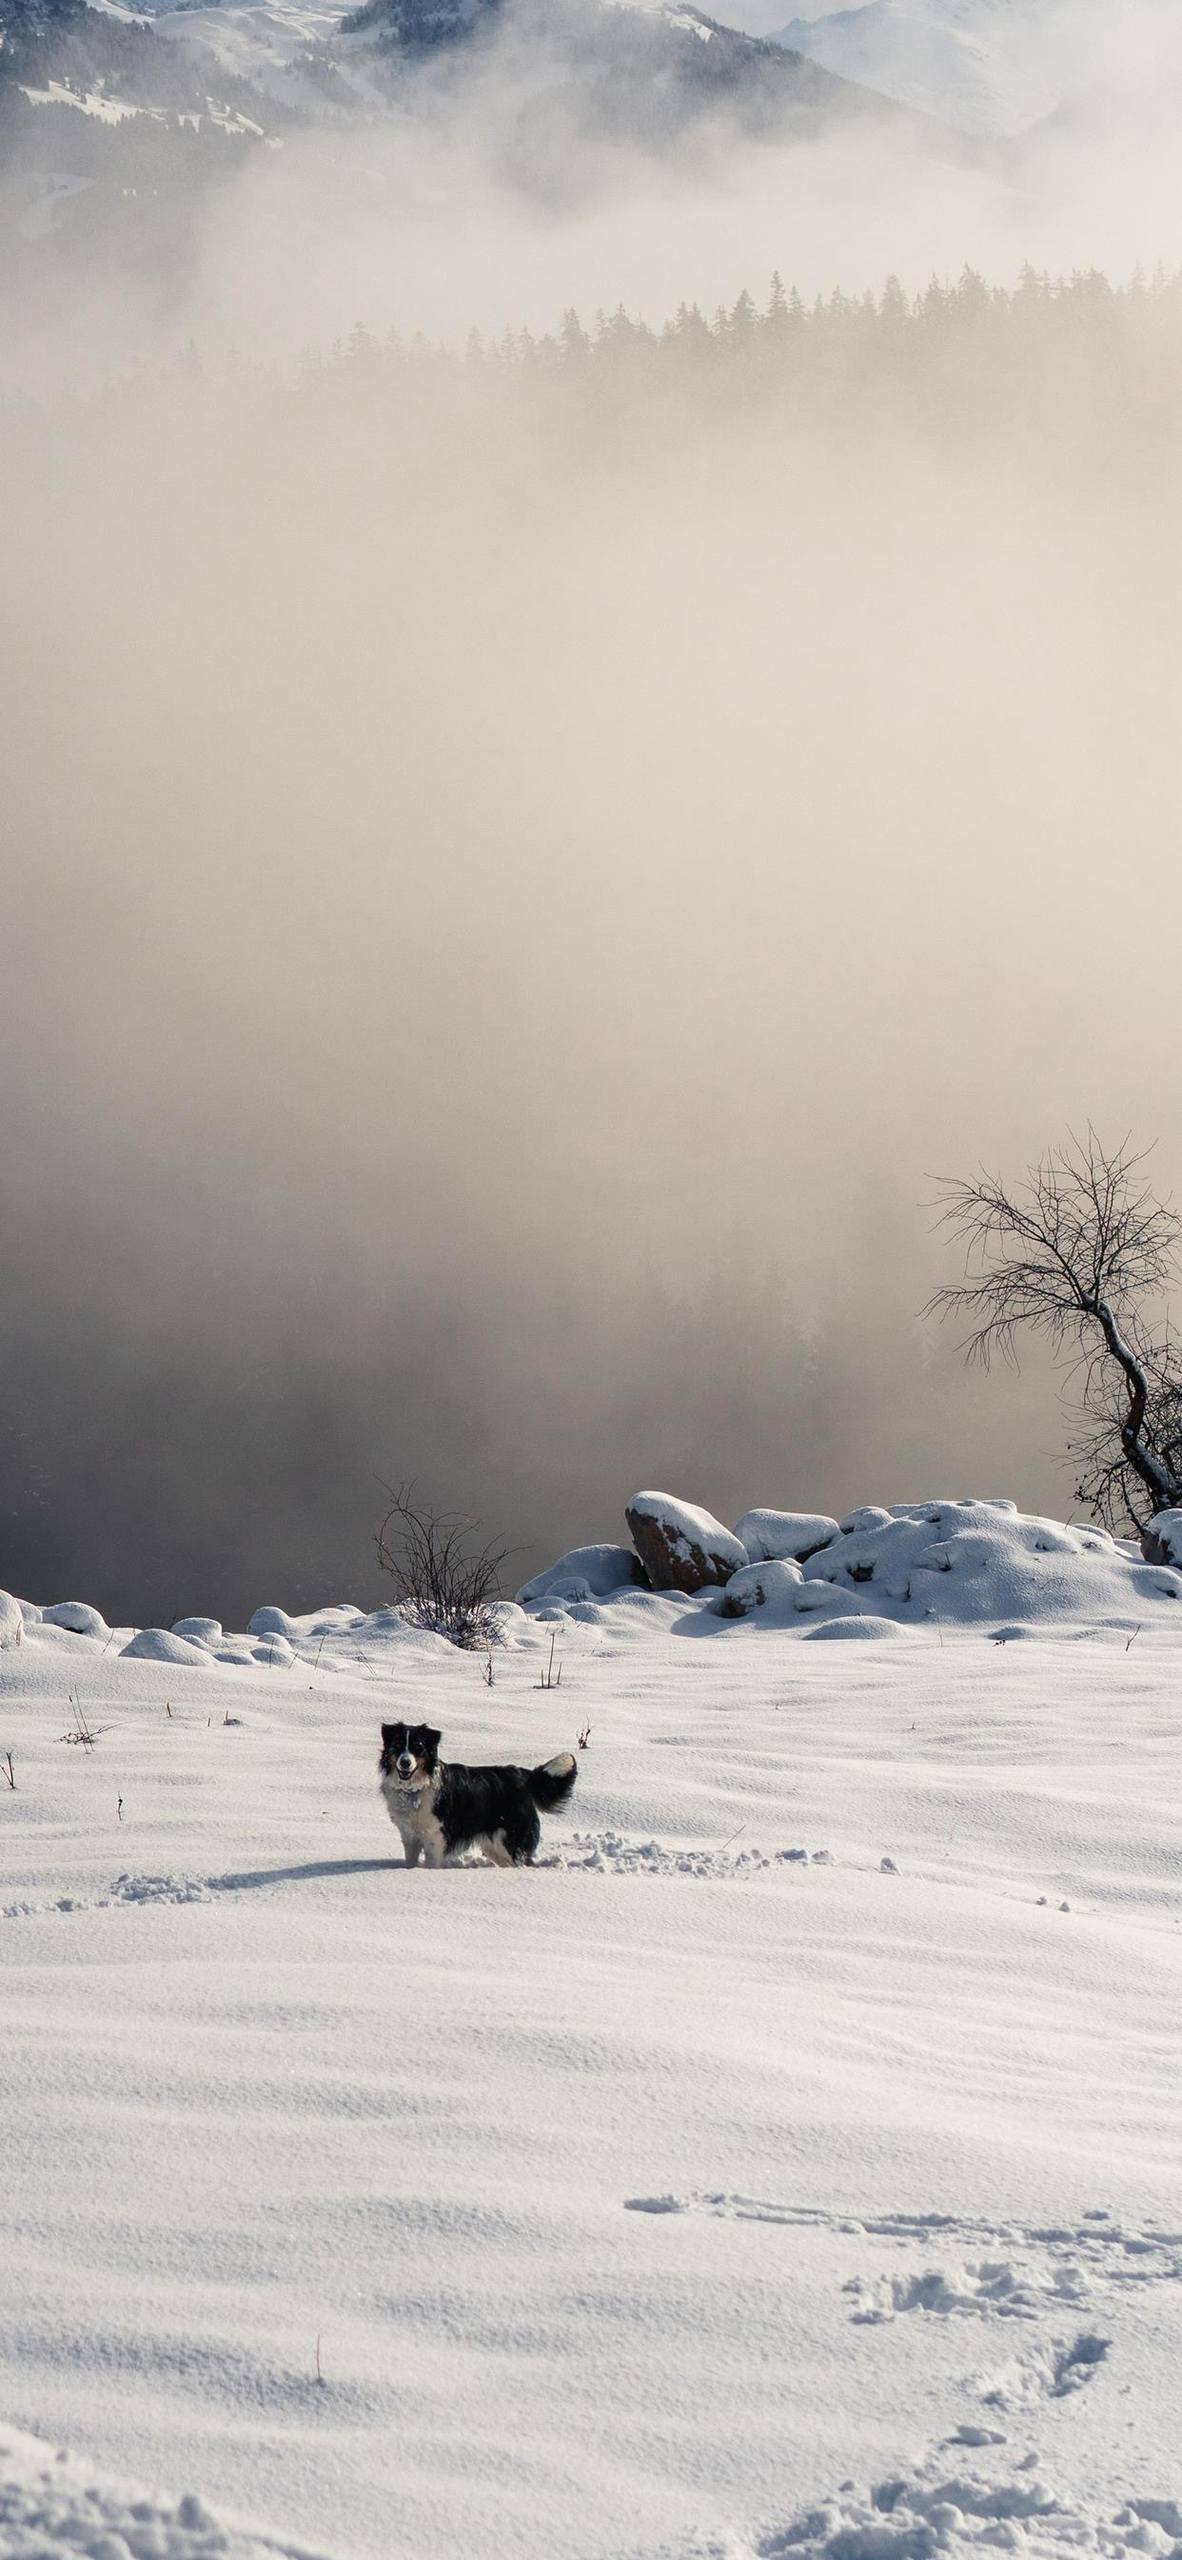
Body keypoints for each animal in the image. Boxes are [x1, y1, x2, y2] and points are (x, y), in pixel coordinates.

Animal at [378, 1730, 578, 1873]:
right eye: (397, 1745)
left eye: (418, 1747)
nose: (405, 1763)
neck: (415, 1790)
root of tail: (522, 1775)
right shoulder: (409, 1835)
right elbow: (410, 1861)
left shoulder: (435, 1836)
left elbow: (432, 1863)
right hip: (494, 1844)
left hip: (509, 1839)